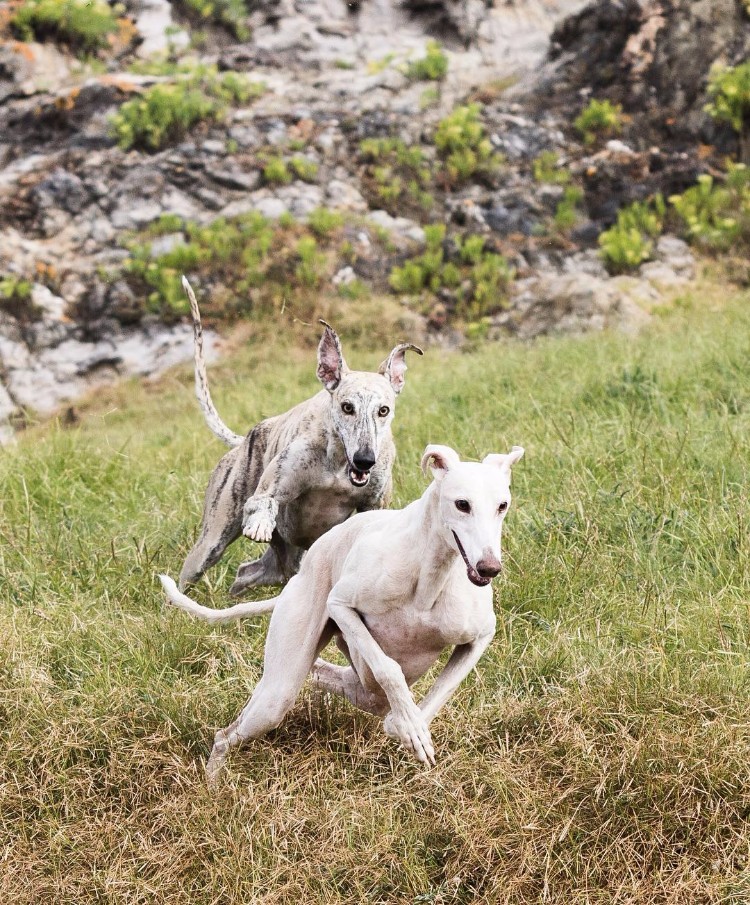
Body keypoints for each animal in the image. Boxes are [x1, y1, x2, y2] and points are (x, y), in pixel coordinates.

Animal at [160, 442, 524, 780]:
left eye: (502, 505)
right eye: (462, 504)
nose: (490, 568)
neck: (430, 577)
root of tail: (301, 573)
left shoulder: (479, 636)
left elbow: (441, 691)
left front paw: (409, 726)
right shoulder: (341, 605)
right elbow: (388, 668)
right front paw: (409, 727)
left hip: (359, 687)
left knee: (328, 674)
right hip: (280, 692)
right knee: (227, 734)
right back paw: (213, 783)